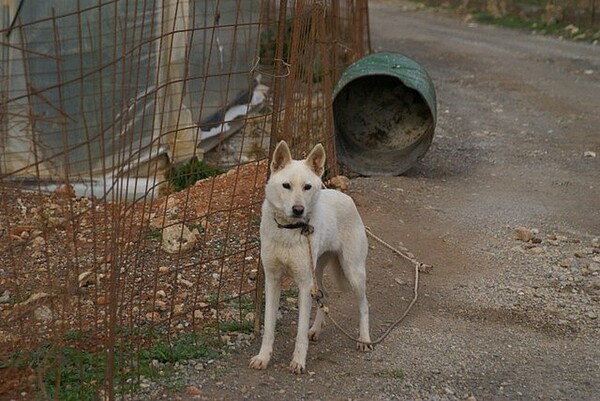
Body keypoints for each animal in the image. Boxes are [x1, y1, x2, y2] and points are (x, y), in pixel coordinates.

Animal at [248, 140, 370, 372]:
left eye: (307, 187)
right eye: (286, 185)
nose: (298, 209)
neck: (289, 230)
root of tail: (346, 197)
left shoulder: (304, 285)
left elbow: (299, 332)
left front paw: (298, 361)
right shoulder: (272, 280)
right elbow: (269, 327)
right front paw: (263, 357)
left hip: (353, 273)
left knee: (364, 305)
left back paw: (364, 339)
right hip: (318, 272)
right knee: (325, 296)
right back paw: (315, 330)